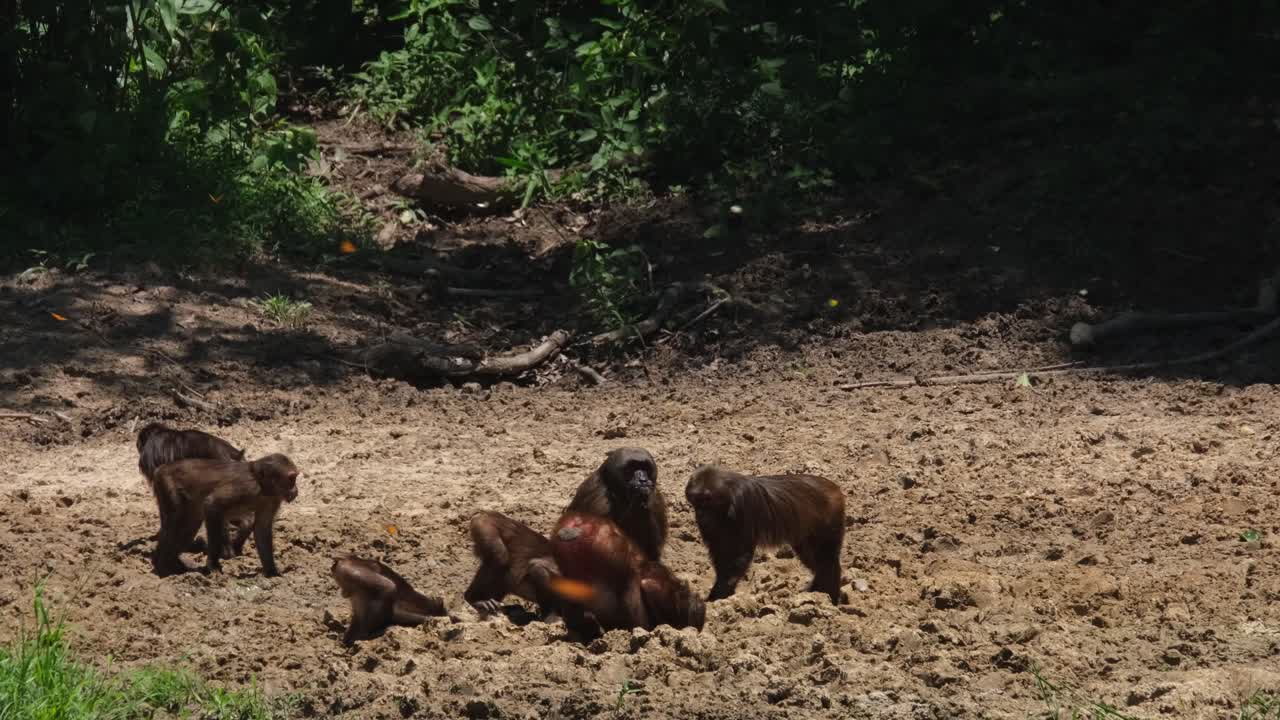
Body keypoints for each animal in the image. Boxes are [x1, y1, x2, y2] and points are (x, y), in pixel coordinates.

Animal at [151, 453, 299, 578]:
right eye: (292, 479)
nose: (296, 490)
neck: (262, 486)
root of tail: (162, 468)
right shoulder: (247, 487)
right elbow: (211, 504)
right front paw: (213, 565)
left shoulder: (273, 499)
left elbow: (262, 529)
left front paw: (272, 572)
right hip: (167, 483)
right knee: (177, 520)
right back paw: (163, 566)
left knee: (188, 524)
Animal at [685, 466, 845, 604]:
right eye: (696, 500)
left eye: (707, 499)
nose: (701, 514)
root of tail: (834, 488)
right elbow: (721, 554)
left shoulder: (743, 505)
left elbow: (740, 555)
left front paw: (718, 594)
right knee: (815, 560)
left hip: (828, 522)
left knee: (827, 561)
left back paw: (830, 596)